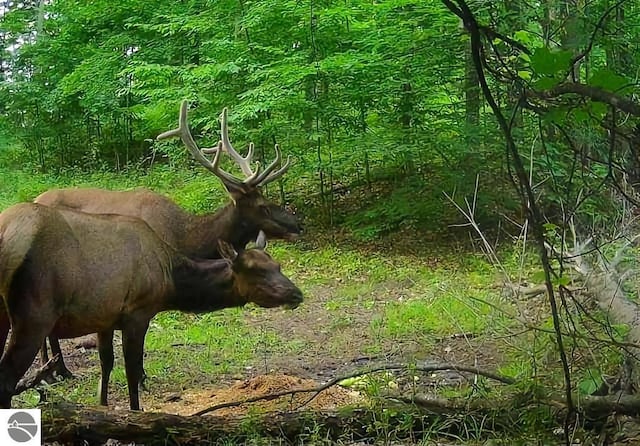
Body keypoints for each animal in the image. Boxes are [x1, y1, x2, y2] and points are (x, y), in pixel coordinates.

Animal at [0, 204, 302, 410]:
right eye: (254, 271)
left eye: (277, 265)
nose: (296, 294)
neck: (170, 281)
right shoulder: (138, 312)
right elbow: (133, 370)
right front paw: (136, 412)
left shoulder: (104, 318)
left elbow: (106, 364)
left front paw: (102, 406)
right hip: (34, 313)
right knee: (7, 377)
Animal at [34, 102, 302, 380]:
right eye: (263, 206)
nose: (297, 224)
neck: (190, 240)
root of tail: (35, 199)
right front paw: (141, 376)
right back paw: (55, 370)